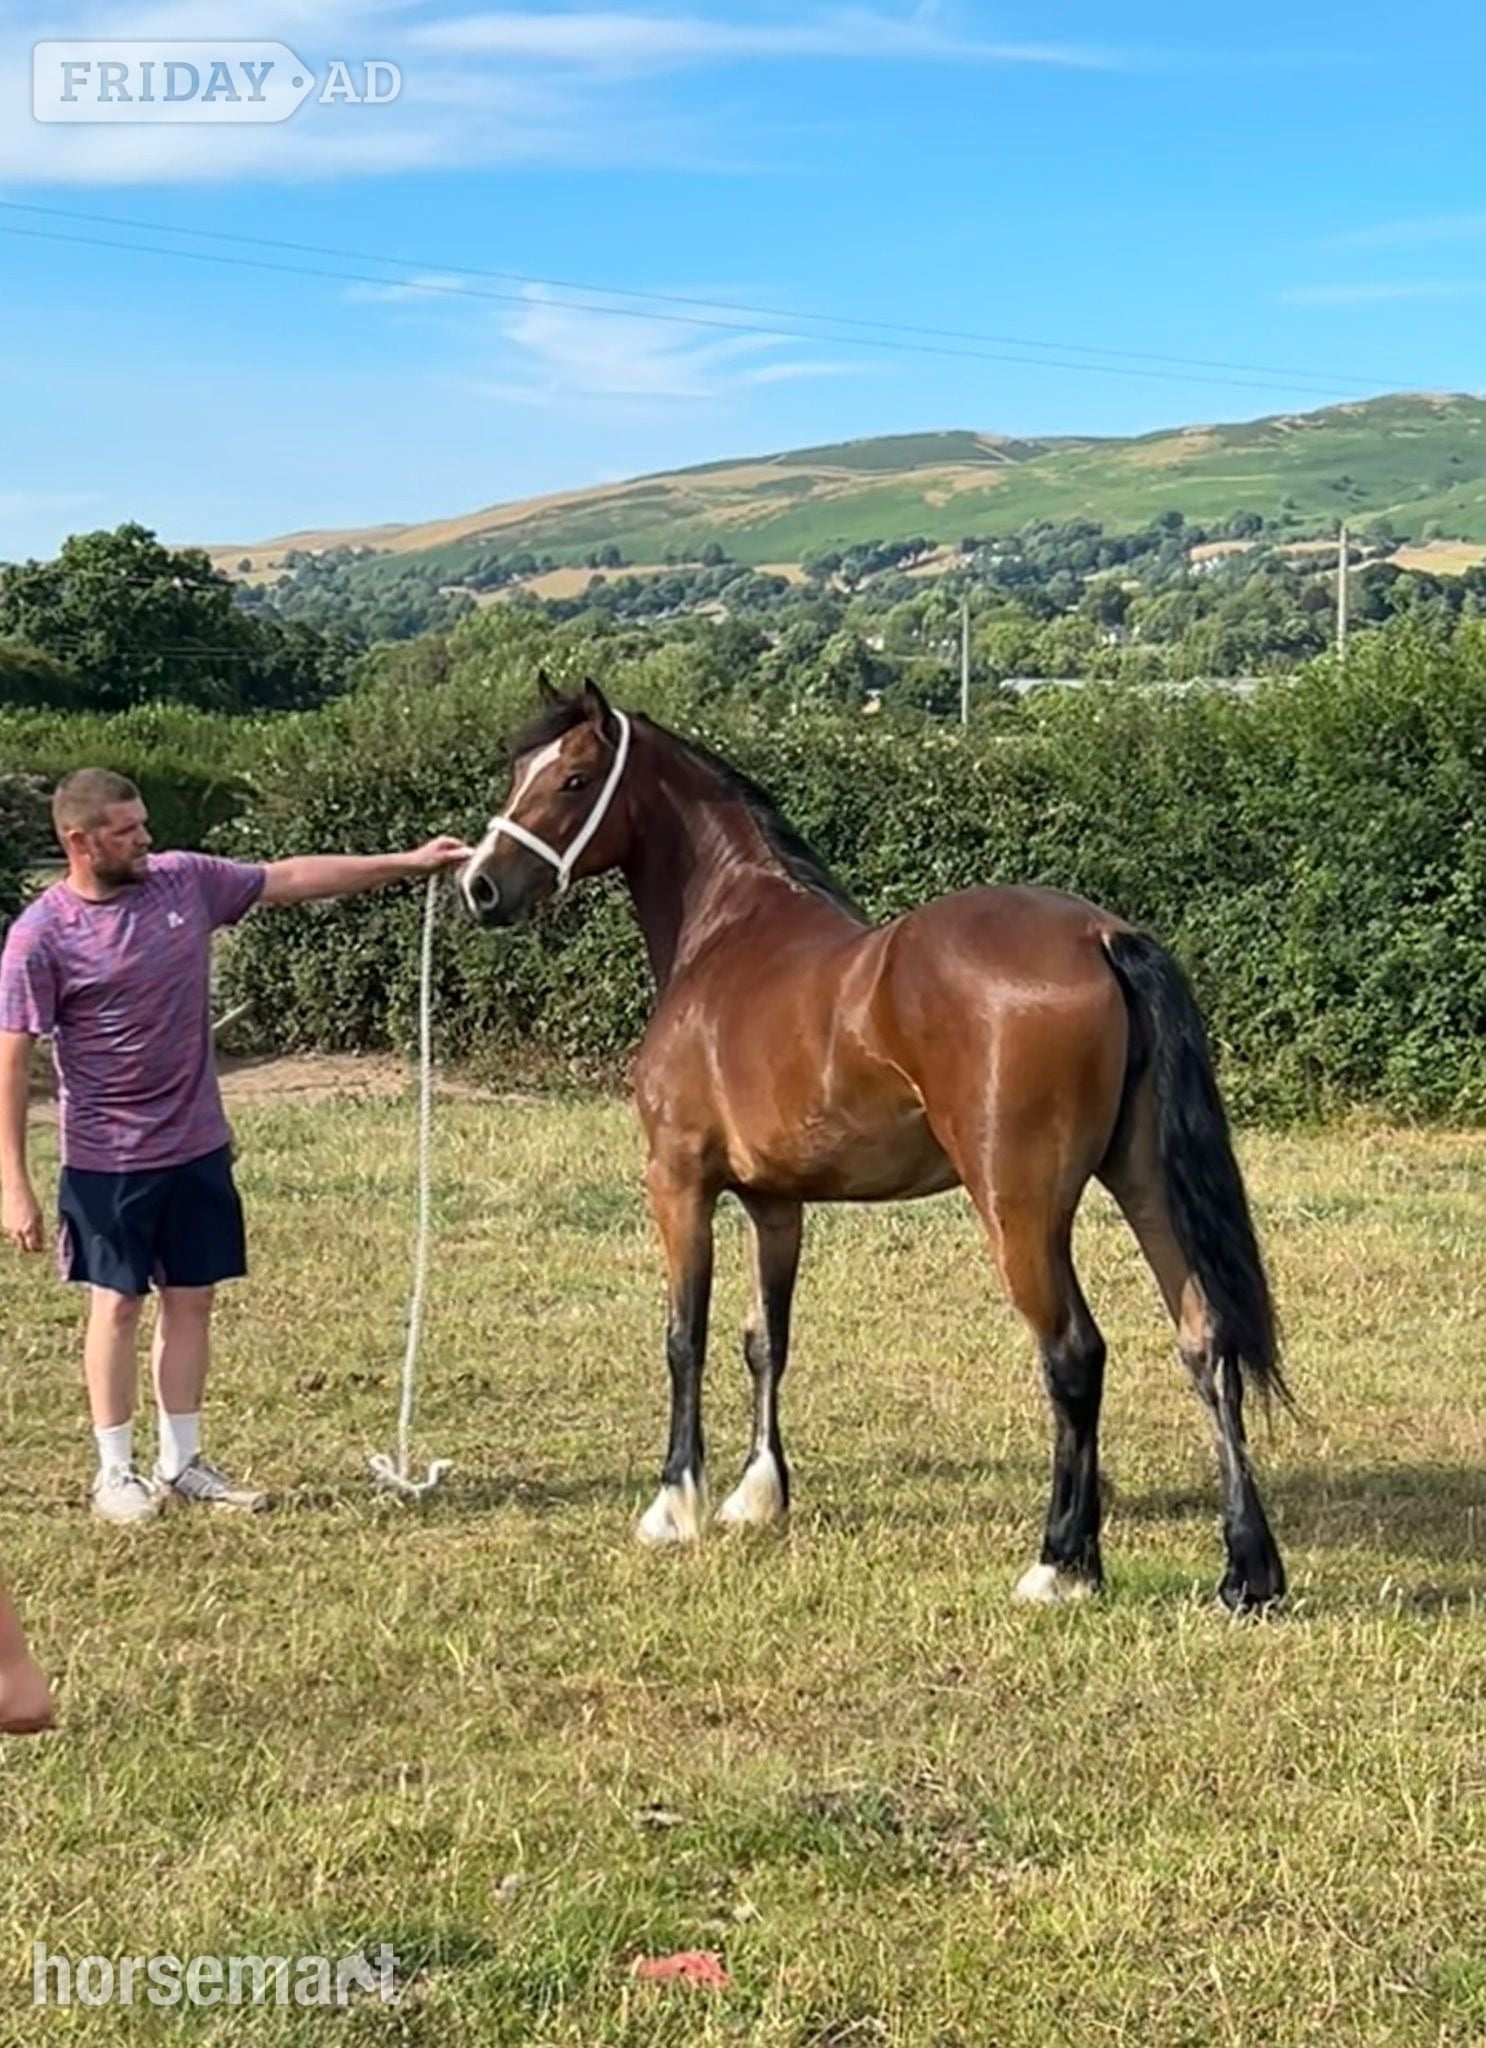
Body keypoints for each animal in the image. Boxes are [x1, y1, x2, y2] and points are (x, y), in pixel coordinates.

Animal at [458, 677, 1289, 1611]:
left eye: (571, 781)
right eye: (519, 770)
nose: (478, 886)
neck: (726, 934)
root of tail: (1101, 938)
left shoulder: (677, 1181)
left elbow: (684, 1336)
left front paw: (676, 1504)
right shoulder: (775, 1202)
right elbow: (765, 1338)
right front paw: (759, 1494)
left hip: (1019, 1210)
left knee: (1074, 1355)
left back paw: (1060, 1563)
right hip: (1143, 1182)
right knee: (1205, 1343)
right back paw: (1247, 1571)